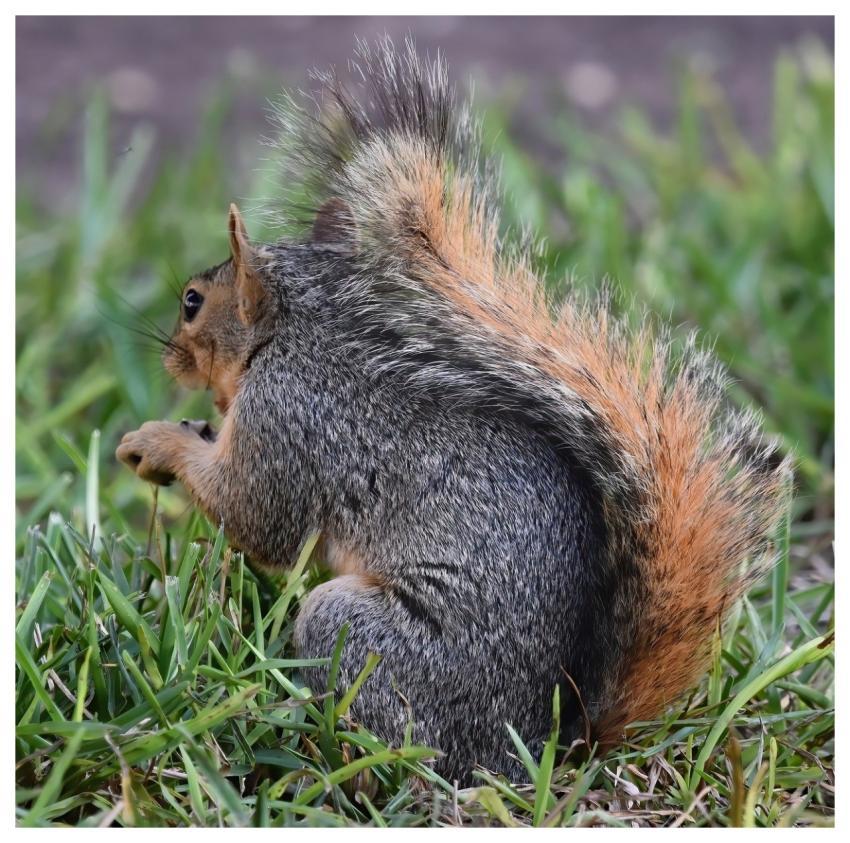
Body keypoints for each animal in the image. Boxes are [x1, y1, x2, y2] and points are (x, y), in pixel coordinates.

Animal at [116, 38, 792, 783]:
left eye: (191, 302)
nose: (169, 359)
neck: (294, 338)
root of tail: (539, 747)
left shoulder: (289, 421)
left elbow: (259, 517)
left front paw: (158, 442)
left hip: (354, 632)